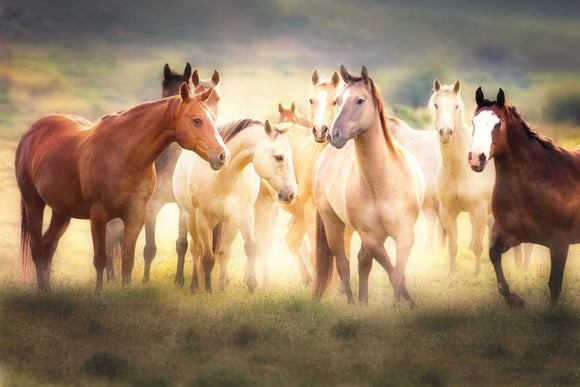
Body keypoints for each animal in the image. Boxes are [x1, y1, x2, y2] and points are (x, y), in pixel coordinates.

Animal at [15, 83, 229, 292]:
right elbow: (101, 258)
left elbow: (128, 260)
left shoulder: (136, 215)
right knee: (37, 247)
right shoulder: (99, 215)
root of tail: (32, 132)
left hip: (62, 211)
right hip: (33, 202)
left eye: (211, 118)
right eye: (197, 120)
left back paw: (47, 289)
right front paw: (99, 293)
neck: (123, 154)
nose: (222, 155)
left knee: (48, 245)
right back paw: (42, 292)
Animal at [173, 120, 300, 292]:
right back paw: (194, 285)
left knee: (223, 252)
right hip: (190, 218)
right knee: (196, 249)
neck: (222, 176)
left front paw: (251, 285)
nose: (293, 194)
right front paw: (207, 289)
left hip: (228, 224)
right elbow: (207, 258)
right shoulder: (203, 220)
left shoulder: (244, 215)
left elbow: (250, 247)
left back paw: (222, 284)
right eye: (279, 157)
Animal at [254, 69, 344, 284]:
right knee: (262, 241)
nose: (320, 131)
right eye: (311, 100)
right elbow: (316, 255)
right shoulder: (313, 212)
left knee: (291, 240)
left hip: (299, 215)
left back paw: (307, 280)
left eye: (335, 100)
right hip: (266, 205)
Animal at [314, 67, 424, 306]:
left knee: (362, 261)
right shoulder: (371, 236)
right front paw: (401, 303)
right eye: (338, 100)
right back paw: (352, 302)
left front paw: (404, 304)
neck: (380, 181)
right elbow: (391, 271)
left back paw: (364, 302)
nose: (333, 134)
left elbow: (397, 273)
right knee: (344, 264)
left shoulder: (405, 234)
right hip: (333, 224)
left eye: (360, 100)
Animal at [466, 88, 580, 310]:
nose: (476, 158)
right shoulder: (507, 233)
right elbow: (494, 256)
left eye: (498, 124)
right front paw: (515, 300)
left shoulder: (560, 242)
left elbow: (555, 283)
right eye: (473, 122)